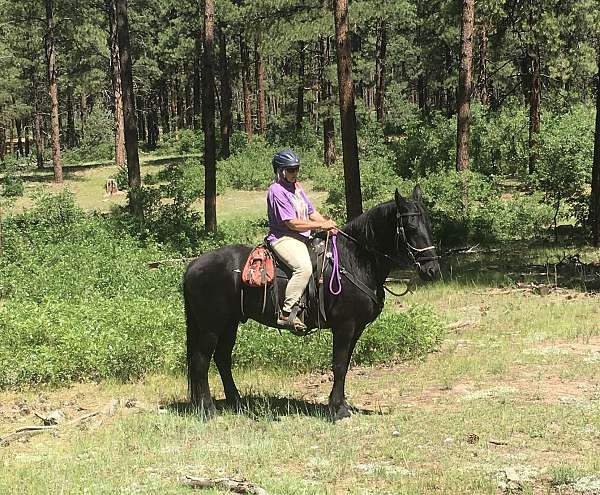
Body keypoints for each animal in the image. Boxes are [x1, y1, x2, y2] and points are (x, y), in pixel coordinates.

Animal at [184, 185, 440, 418]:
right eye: (410, 227)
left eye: (429, 224)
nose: (432, 270)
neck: (354, 259)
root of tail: (193, 265)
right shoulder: (345, 326)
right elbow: (339, 364)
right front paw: (337, 409)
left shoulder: (356, 328)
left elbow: (345, 364)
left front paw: (341, 405)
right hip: (211, 327)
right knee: (201, 361)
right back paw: (207, 409)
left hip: (230, 324)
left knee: (222, 359)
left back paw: (236, 402)